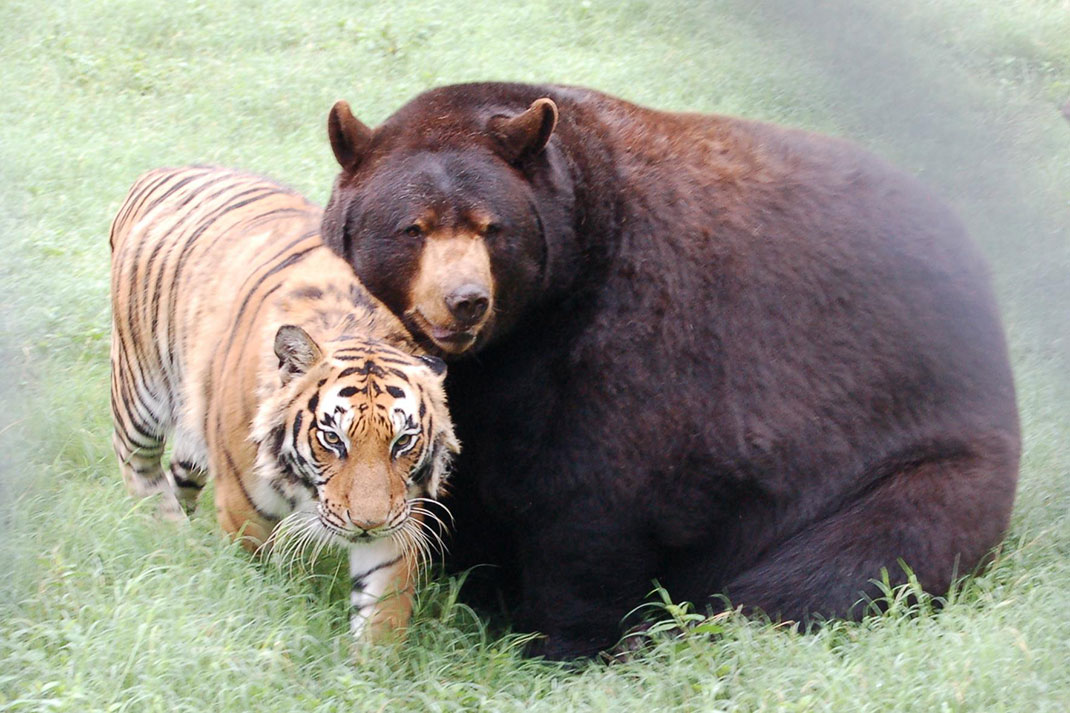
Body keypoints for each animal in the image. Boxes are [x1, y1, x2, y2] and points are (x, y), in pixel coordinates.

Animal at [109, 165, 459, 643]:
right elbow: (258, 578)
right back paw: (168, 532)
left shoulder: (399, 521)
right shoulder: (245, 512)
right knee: (139, 467)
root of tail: (159, 170)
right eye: (332, 439)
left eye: (402, 443)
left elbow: (381, 613)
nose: (366, 523)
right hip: (138, 390)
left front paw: (372, 659)